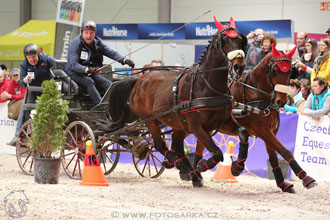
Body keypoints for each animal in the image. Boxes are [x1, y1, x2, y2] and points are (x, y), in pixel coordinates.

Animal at [100, 16, 248, 186]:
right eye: (224, 39)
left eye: (240, 39)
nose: (238, 67)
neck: (206, 85)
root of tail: (139, 79)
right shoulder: (197, 127)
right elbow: (217, 153)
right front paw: (202, 166)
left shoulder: (222, 122)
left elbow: (243, 133)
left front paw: (237, 167)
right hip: (150, 121)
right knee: (160, 145)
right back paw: (179, 165)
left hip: (177, 124)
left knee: (176, 147)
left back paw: (186, 170)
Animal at [193, 44, 318, 192]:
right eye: (275, 70)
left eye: (290, 72)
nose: (281, 101)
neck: (256, 92)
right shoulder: (261, 130)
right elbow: (285, 151)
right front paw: (306, 178)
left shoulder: (270, 131)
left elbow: (274, 157)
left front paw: (283, 184)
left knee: (199, 148)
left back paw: (196, 173)